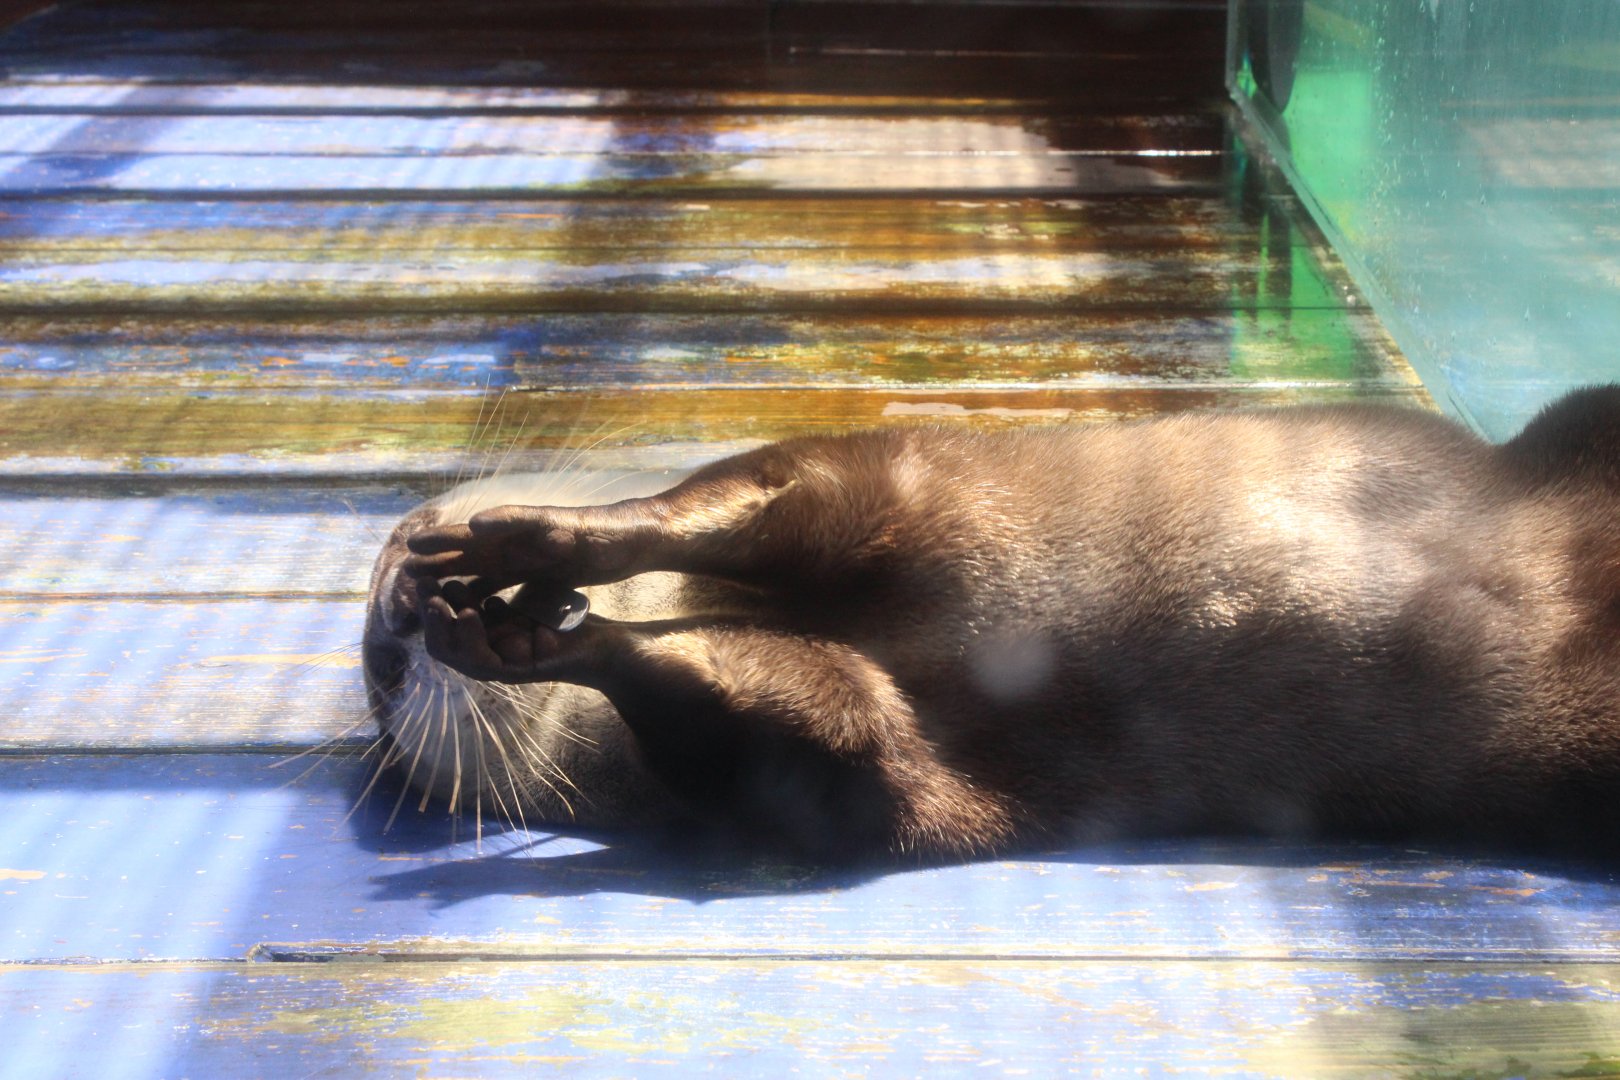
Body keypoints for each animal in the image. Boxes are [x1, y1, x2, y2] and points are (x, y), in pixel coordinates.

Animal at [362, 387, 1620, 862]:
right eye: (377, 699)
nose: (387, 629)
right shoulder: (885, 778)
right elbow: (824, 732)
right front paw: (534, 639)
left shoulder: (907, 486)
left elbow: (756, 496)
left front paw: (536, 549)